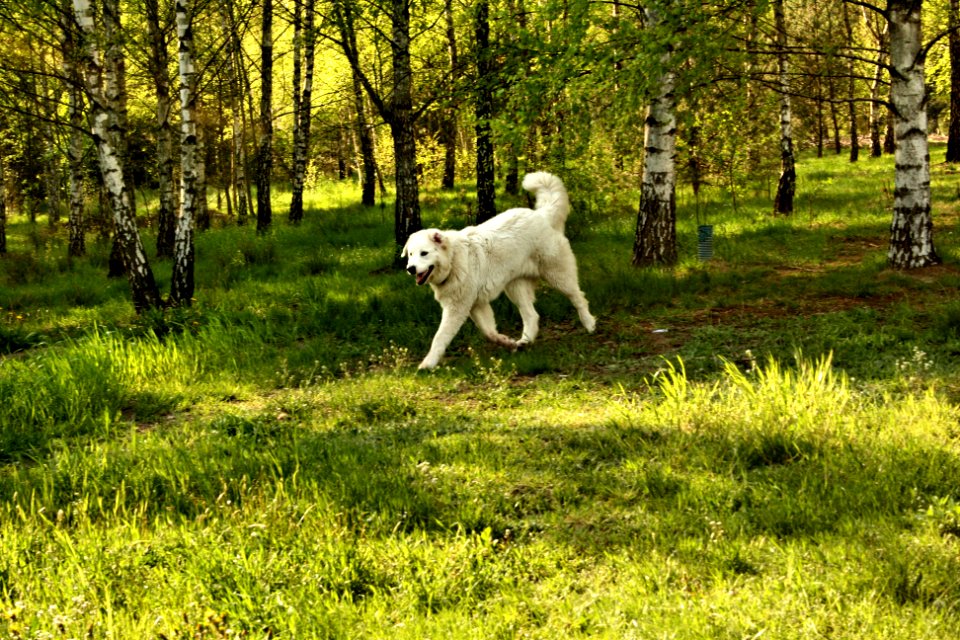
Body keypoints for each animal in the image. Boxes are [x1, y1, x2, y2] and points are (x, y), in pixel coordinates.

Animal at [402, 171, 596, 370]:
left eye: (424, 253)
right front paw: (506, 342)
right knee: (531, 315)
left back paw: (589, 324)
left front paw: (427, 364)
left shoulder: (457, 308)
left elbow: (439, 338)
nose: (410, 269)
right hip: (515, 288)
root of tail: (541, 215)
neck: (454, 260)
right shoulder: (477, 306)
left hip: (557, 275)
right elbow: (489, 332)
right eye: (410, 254)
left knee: (578, 297)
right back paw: (524, 342)